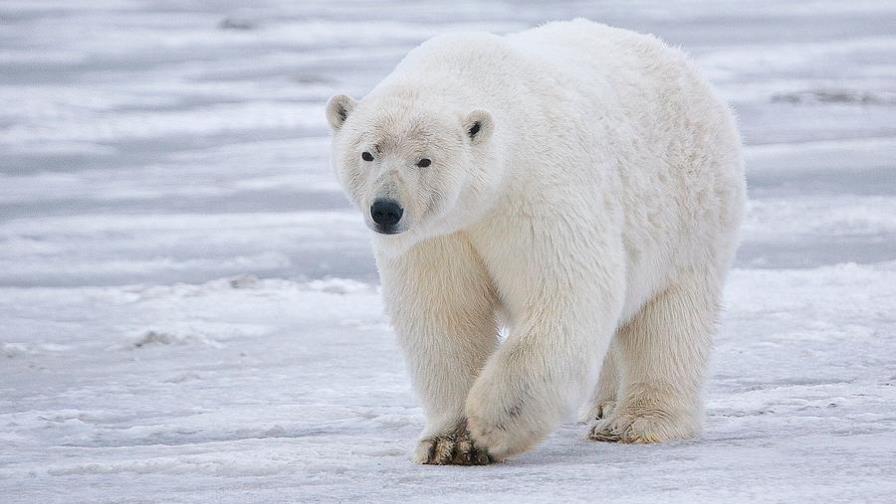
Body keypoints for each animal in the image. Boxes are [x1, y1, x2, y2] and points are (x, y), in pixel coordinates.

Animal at [325, 19, 746, 465]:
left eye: (424, 160)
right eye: (368, 153)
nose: (386, 210)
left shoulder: (536, 191)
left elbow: (566, 292)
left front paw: (493, 422)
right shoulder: (438, 236)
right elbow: (444, 315)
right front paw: (450, 442)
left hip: (689, 211)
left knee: (669, 317)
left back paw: (635, 422)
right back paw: (603, 405)